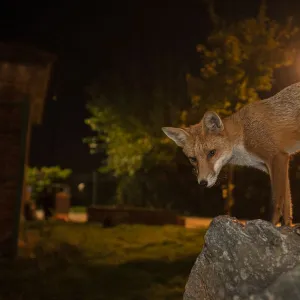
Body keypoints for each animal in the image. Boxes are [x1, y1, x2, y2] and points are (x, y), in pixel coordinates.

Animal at [163, 82, 300, 225]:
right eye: (193, 159)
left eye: (212, 153)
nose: (202, 183)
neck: (243, 133)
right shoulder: (274, 165)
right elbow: (287, 204)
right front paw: (287, 226)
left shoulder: (278, 157)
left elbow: (277, 202)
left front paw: (271, 225)